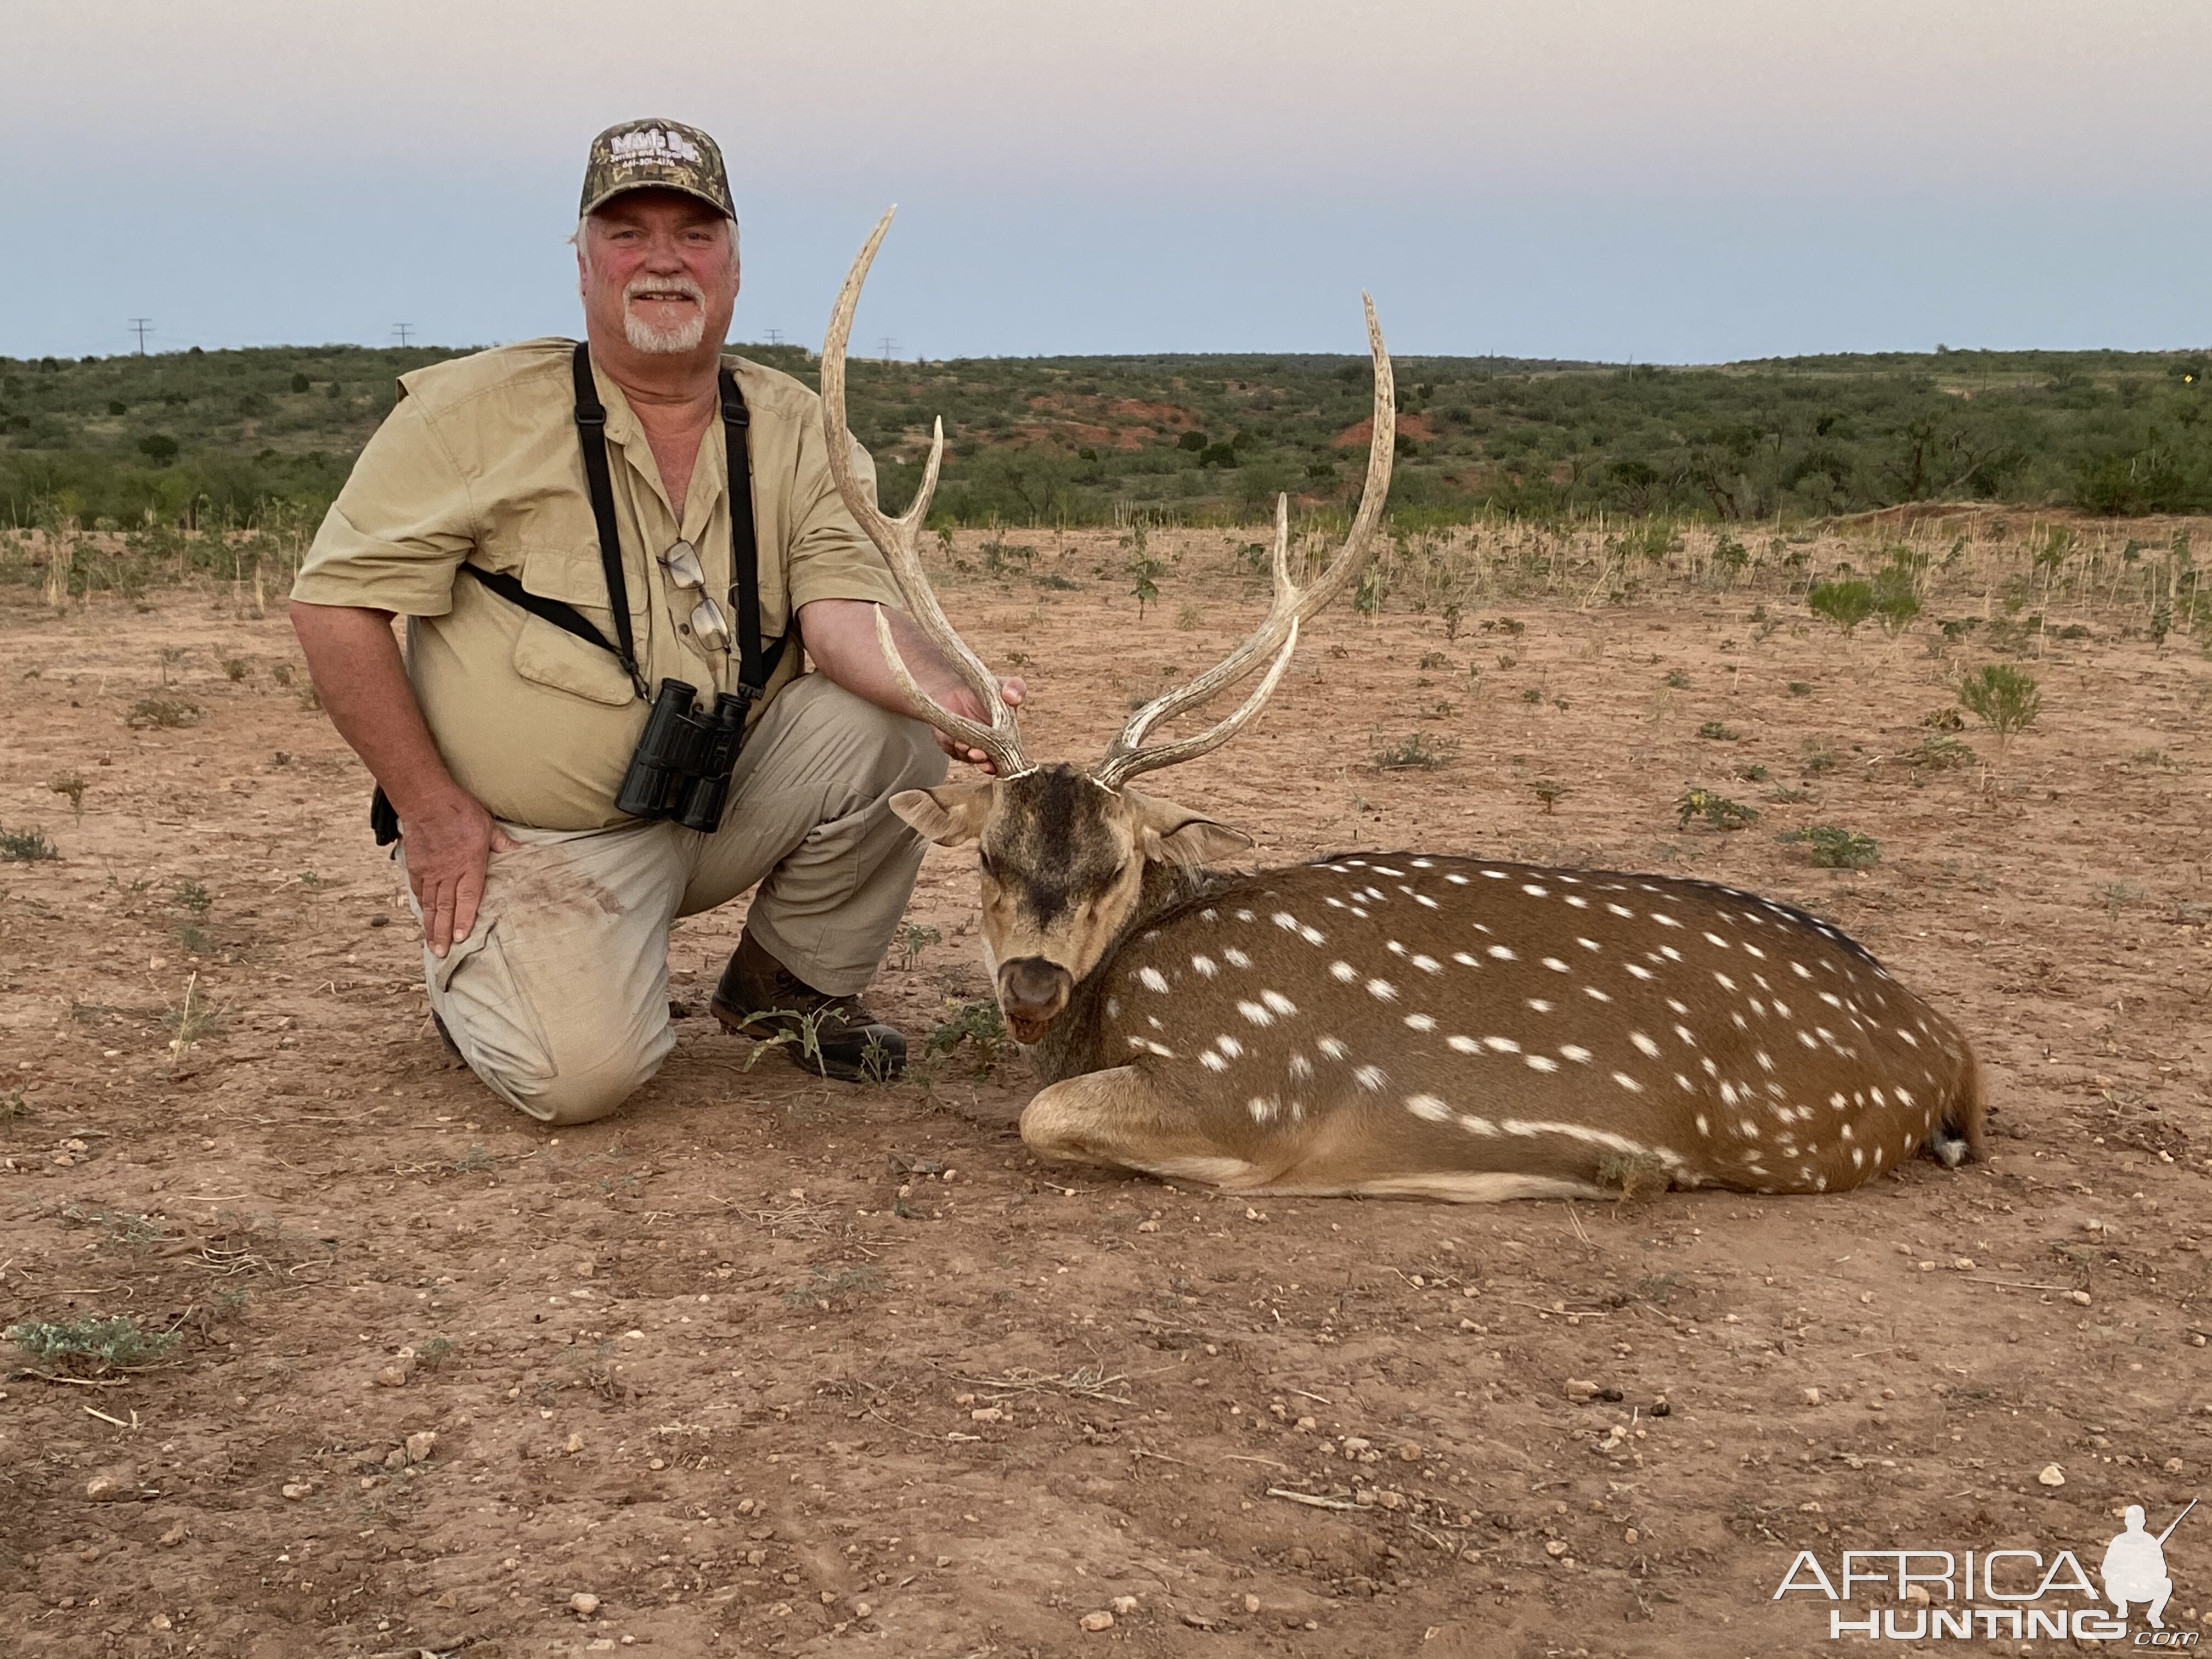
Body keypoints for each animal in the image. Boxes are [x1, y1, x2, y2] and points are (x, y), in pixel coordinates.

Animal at [822, 215, 1982, 1203]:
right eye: (987, 854)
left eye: (1115, 866)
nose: (1030, 983)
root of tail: (1946, 1044)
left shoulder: (1241, 1081)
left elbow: (1046, 1115)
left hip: (1797, 1130)